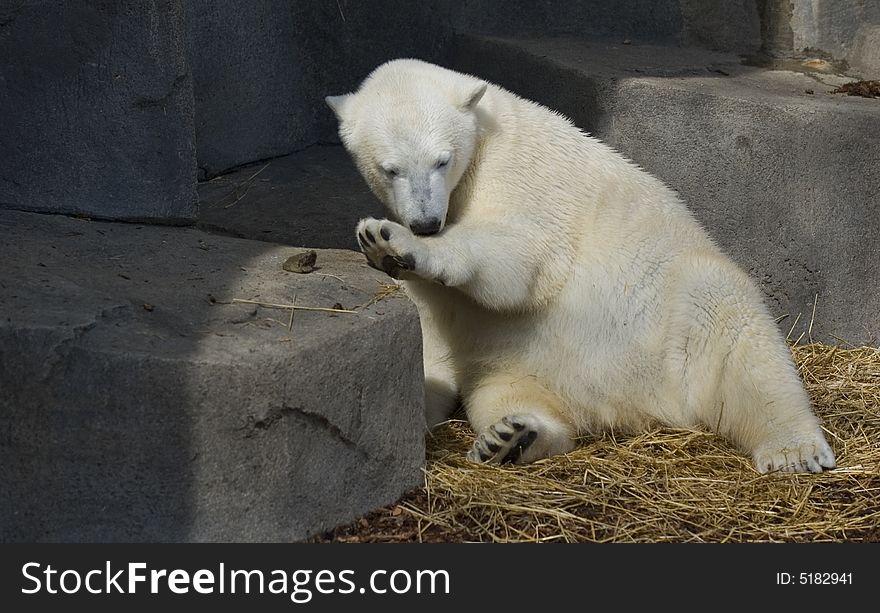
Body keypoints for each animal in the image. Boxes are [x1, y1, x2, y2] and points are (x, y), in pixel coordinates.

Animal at [326, 58, 836, 474]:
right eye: (390, 168)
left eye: (442, 160)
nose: (426, 223)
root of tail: (634, 406)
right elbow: (434, 331)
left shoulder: (522, 175)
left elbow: (519, 259)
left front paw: (391, 239)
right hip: (524, 363)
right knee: (505, 393)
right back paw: (511, 437)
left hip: (679, 307)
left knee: (740, 339)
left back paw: (794, 449)